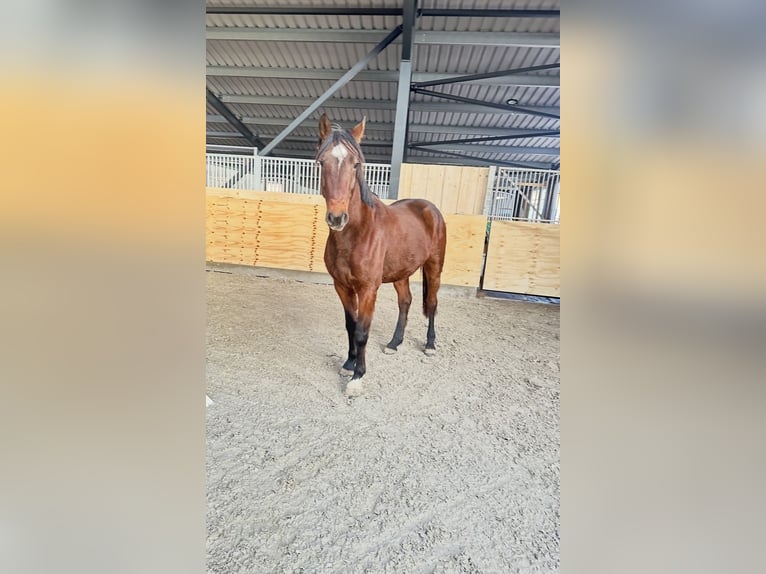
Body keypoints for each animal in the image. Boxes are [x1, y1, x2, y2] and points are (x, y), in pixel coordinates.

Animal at [316, 113, 447, 381]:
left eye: (355, 164)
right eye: (322, 163)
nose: (337, 218)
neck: (357, 234)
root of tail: (430, 208)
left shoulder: (368, 289)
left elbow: (362, 331)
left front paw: (358, 376)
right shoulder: (342, 286)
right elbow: (351, 326)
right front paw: (348, 363)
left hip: (434, 267)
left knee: (432, 303)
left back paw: (430, 345)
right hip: (401, 272)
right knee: (405, 301)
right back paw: (394, 343)